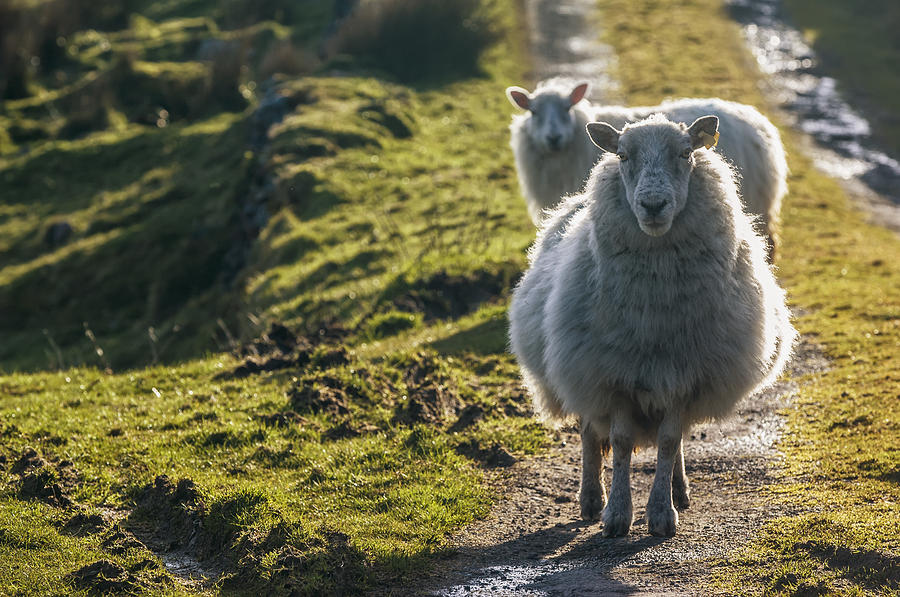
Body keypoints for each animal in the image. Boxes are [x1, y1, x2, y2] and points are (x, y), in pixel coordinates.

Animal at [506, 113, 796, 536]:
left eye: (686, 152)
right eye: (623, 155)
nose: (653, 205)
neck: (655, 313)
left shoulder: (685, 375)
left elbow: (670, 440)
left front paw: (661, 512)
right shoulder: (613, 375)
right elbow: (621, 442)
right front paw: (616, 514)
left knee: (670, 440)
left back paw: (678, 489)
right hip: (580, 369)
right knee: (589, 432)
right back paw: (591, 499)